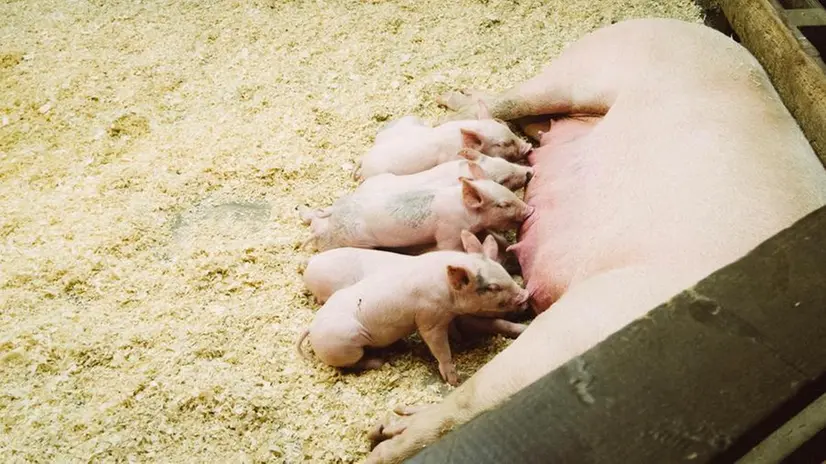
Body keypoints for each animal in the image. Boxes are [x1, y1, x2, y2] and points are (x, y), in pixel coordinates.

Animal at [366, 16, 824, 462]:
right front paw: (382, 443)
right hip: (582, 71)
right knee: (513, 99)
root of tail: (674, 22)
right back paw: (452, 101)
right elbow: (479, 394)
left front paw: (385, 437)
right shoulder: (597, 308)